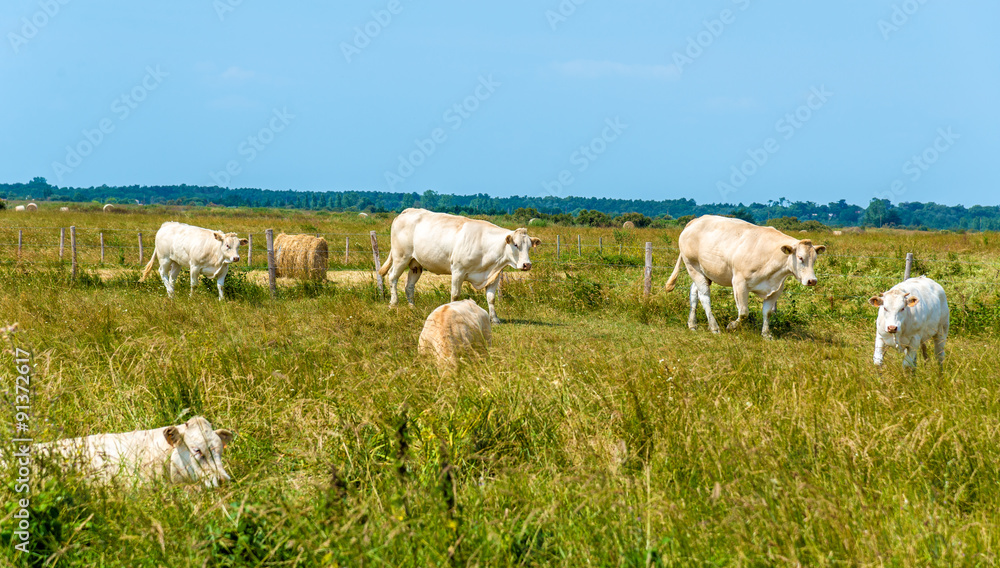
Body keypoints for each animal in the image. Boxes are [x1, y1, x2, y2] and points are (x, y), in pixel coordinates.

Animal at [377, 208, 540, 323]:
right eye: (515, 244)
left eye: (529, 247)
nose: (527, 265)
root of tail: (407, 211)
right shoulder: (458, 271)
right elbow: (455, 295)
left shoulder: (494, 276)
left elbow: (491, 298)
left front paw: (494, 319)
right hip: (401, 257)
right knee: (392, 277)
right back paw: (394, 304)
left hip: (415, 264)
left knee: (409, 286)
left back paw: (412, 306)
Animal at [664, 215, 826, 338]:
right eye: (800, 257)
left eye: (814, 259)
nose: (812, 280)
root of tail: (696, 220)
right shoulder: (739, 283)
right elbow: (743, 312)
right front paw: (731, 326)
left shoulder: (776, 289)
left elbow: (767, 312)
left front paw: (766, 334)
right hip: (693, 266)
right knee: (704, 297)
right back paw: (714, 327)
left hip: (704, 272)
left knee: (694, 293)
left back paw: (692, 324)